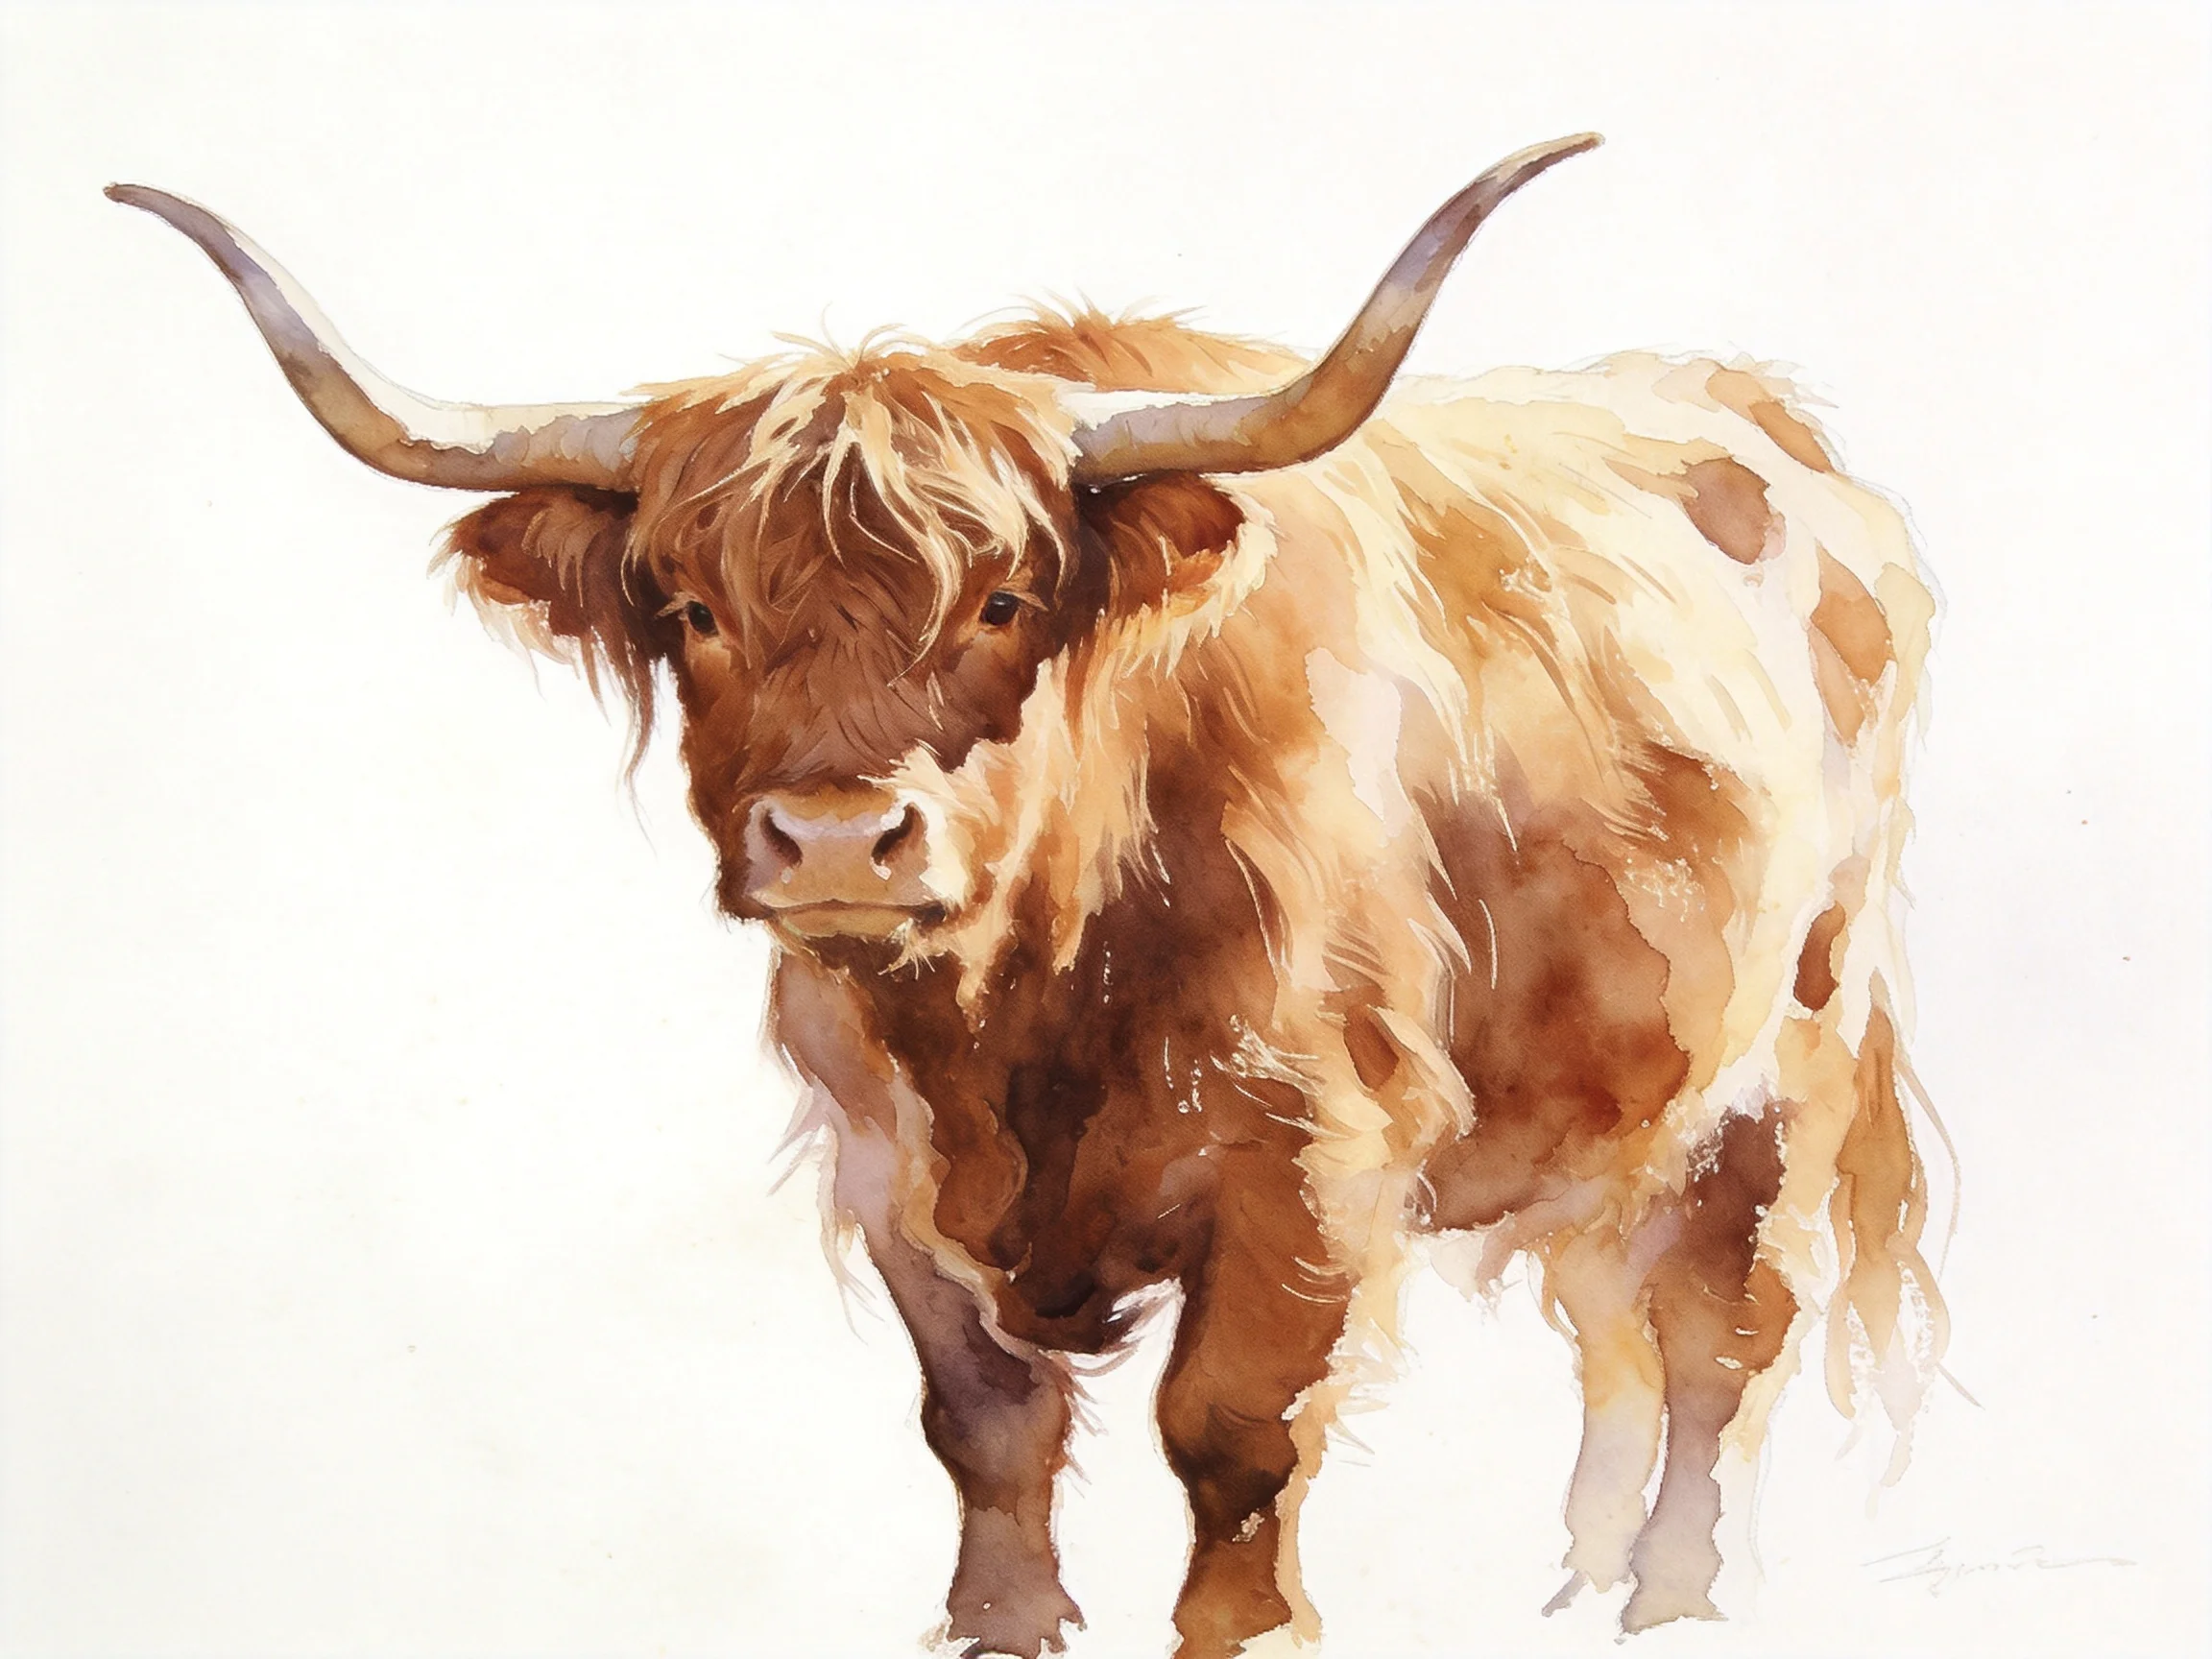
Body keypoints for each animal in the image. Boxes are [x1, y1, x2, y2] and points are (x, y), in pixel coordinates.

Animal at [110, 133, 1944, 1658]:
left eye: (1000, 600)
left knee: (1718, 1337)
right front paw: (1000, 1622)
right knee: (1612, 1318)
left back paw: (1676, 1598)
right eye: (693, 610)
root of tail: (1747, 414)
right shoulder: (883, 1163)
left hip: (1787, 1053)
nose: (836, 840)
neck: (1027, 998)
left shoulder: (1310, 1160)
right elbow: (987, 1432)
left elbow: (1233, 1439)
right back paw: (1578, 1580)